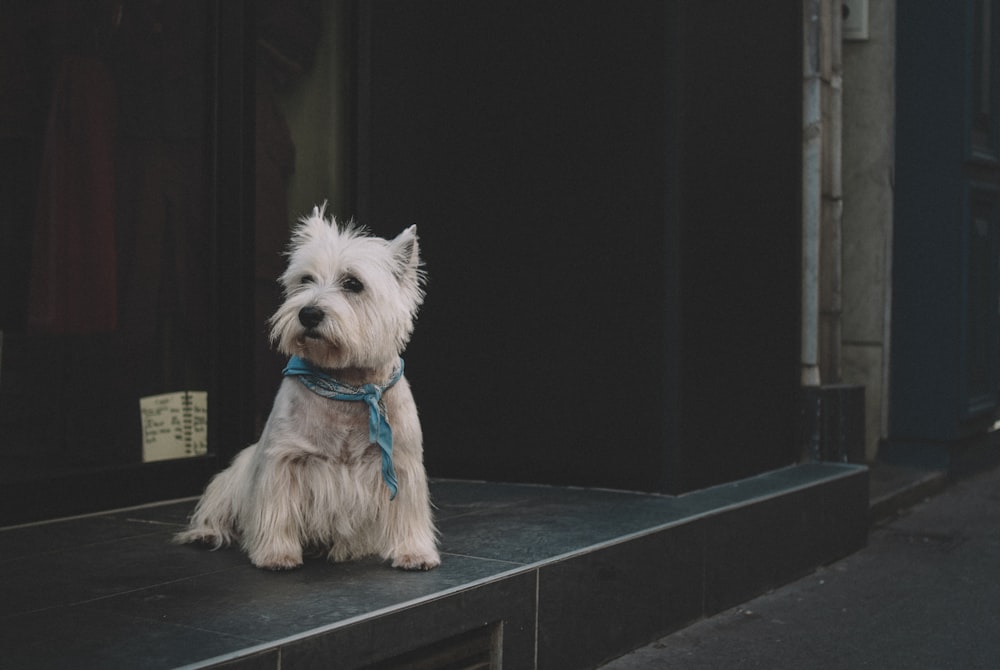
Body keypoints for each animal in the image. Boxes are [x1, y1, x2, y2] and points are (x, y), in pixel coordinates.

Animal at [174, 209, 440, 572]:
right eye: (305, 279)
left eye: (353, 283)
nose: (308, 313)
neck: (347, 384)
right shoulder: (284, 459)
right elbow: (278, 509)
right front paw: (276, 554)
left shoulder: (401, 461)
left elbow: (407, 512)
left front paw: (414, 552)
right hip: (234, 476)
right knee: (217, 509)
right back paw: (205, 533)